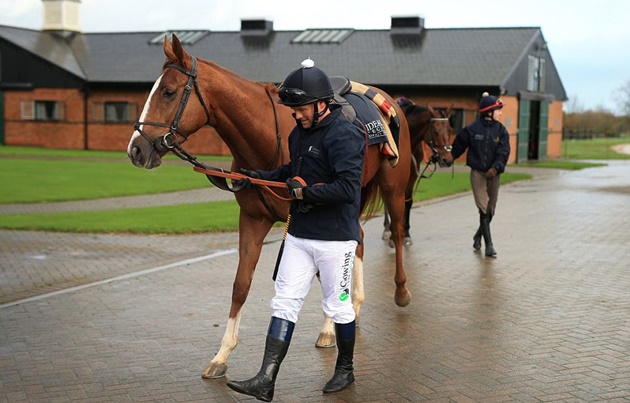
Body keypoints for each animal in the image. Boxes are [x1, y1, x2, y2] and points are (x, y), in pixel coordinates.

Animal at [128, 36, 414, 380]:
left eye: (169, 92)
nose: (136, 149)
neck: (267, 138)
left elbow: (326, 275)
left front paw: (330, 328)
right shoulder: (253, 219)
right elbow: (241, 284)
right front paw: (222, 354)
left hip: (392, 189)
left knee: (395, 232)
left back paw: (397, 293)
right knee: (355, 238)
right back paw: (353, 307)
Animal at [380, 99, 454, 248]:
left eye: (450, 130)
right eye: (435, 131)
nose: (447, 160)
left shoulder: (412, 175)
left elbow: (408, 202)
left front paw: (406, 234)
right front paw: (393, 235)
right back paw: (386, 229)